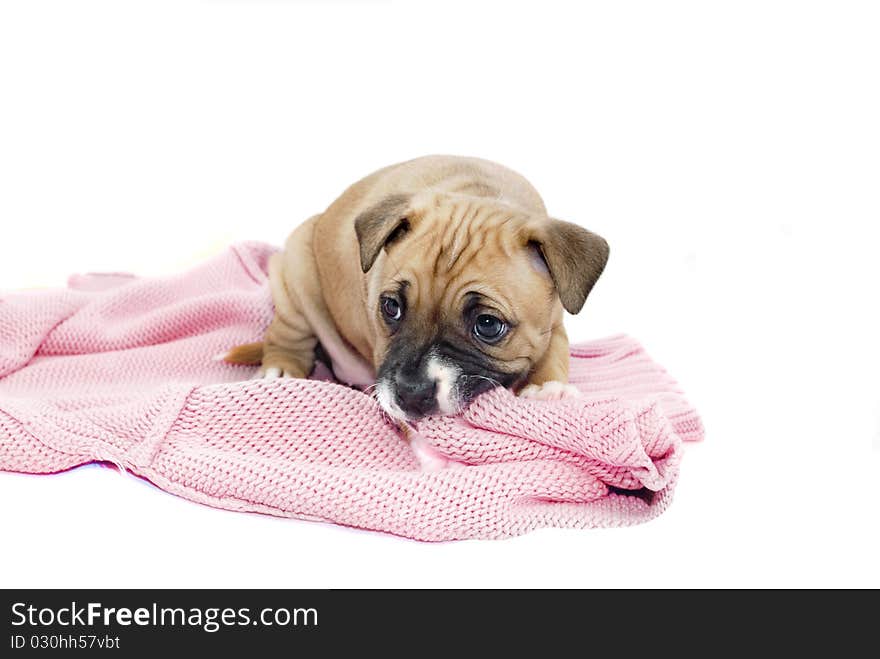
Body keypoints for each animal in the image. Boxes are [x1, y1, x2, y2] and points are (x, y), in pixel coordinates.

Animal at [223, 155, 608, 422]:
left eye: (487, 325)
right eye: (390, 307)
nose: (409, 394)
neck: (479, 194)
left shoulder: (554, 320)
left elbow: (555, 347)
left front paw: (546, 387)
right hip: (294, 273)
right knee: (289, 334)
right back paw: (281, 368)